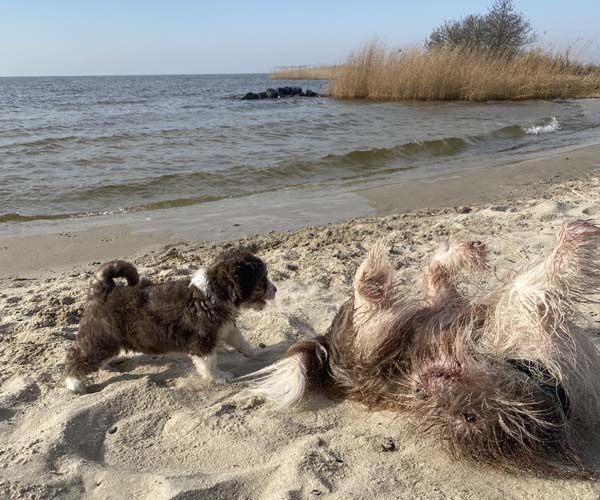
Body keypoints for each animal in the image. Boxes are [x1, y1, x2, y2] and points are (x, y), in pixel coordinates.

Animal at [65, 247, 276, 394]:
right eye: (262, 279)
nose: (275, 289)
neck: (214, 293)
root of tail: (101, 291)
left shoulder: (225, 328)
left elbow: (239, 339)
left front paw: (251, 352)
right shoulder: (203, 343)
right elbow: (209, 364)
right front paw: (218, 377)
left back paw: (107, 365)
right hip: (100, 339)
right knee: (75, 356)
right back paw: (74, 382)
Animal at [249, 221, 600, 474]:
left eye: (469, 417)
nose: (420, 389)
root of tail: (331, 353)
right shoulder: (524, 307)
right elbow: (545, 277)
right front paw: (574, 239)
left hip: (423, 316)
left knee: (431, 277)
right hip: (378, 336)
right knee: (376, 289)